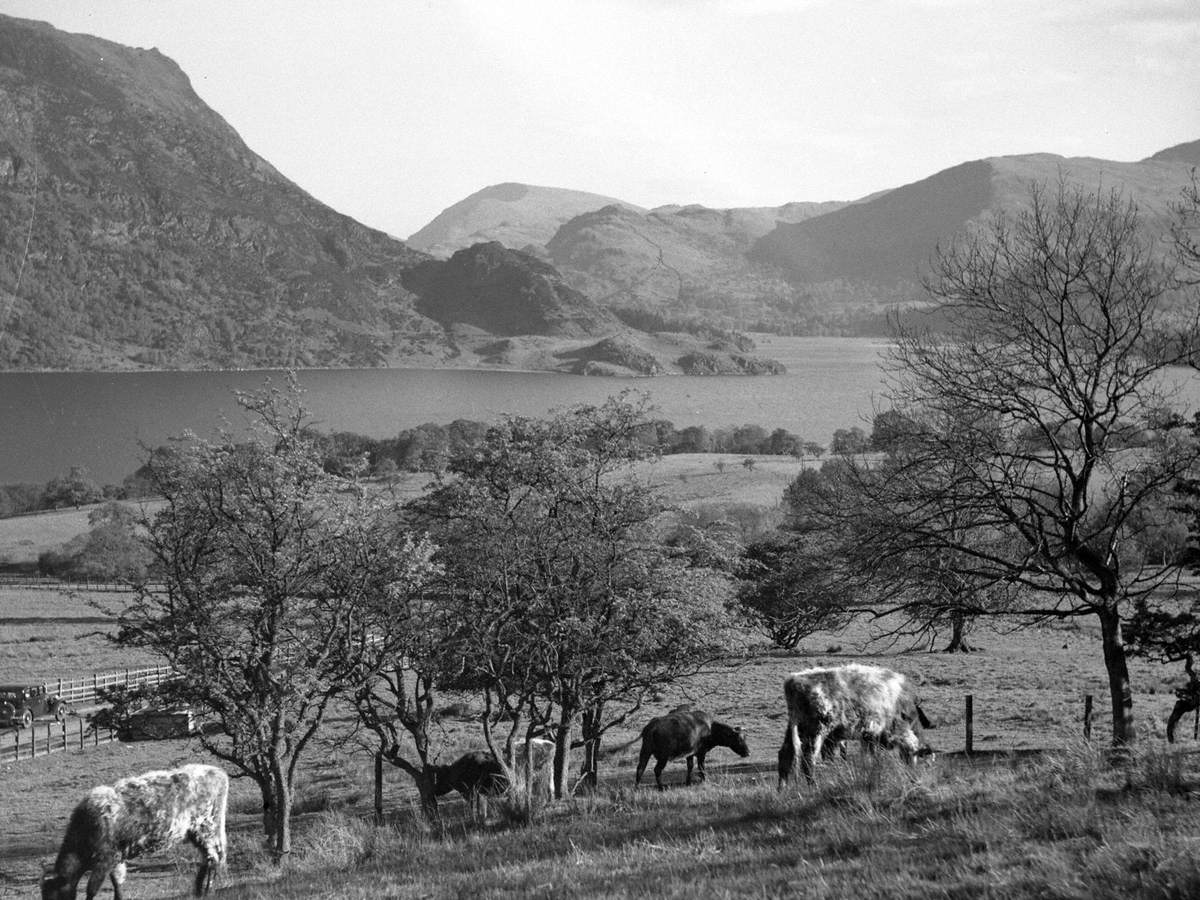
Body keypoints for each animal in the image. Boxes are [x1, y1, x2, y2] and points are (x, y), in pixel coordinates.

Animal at [42, 763, 228, 900]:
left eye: (52, 895)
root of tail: (216, 771)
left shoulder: (105, 860)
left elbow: (91, 890)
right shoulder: (116, 859)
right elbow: (117, 883)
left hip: (207, 827)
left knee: (214, 857)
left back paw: (207, 890)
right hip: (196, 833)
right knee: (207, 858)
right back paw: (198, 891)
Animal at [777, 662, 936, 787]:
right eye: (916, 758)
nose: (914, 779)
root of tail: (794, 679)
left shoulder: (869, 737)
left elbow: (870, 758)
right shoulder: (873, 732)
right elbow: (872, 758)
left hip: (795, 727)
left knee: (785, 755)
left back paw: (782, 789)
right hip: (816, 730)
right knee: (808, 760)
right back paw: (813, 786)